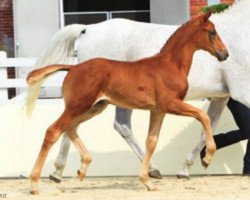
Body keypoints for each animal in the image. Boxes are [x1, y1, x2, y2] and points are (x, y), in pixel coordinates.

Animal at [27, 10, 229, 194]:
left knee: (70, 128)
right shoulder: (170, 103)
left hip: (95, 107)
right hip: (78, 106)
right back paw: (35, 184)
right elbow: (203, 116)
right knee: (53, 131)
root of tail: (73, 67)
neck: (169, 65)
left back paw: (83, 167)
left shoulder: (158, 110)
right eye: (212, 32)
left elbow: (151, 142)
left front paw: (148, 181)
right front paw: (207, 158)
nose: (225, 54)